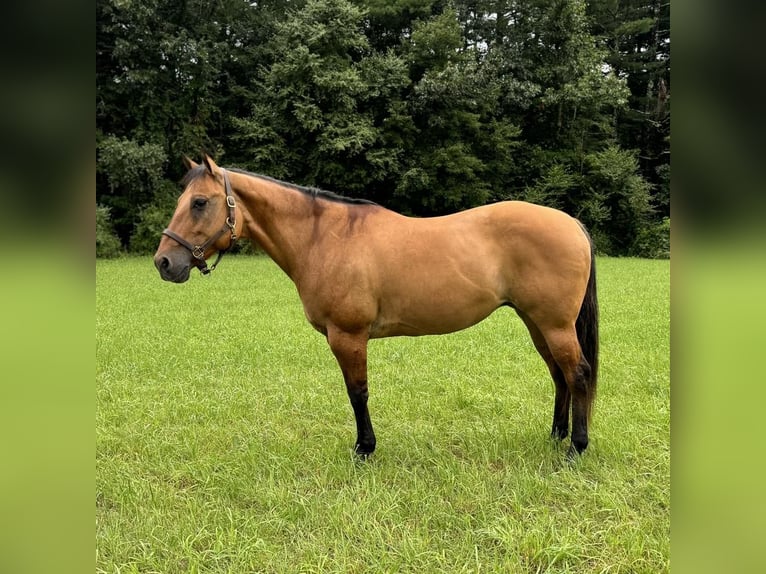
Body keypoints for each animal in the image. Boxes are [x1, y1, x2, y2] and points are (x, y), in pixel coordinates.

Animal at [154, 155, 600, 462]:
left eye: (199, 202)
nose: (164, 262)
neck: (325, 237)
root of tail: (573, 224)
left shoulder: (348, 336)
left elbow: (358, 392)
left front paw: (364, 449)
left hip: (554, 324)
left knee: (577, 373)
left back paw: (575, 448)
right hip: (537, 323)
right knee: (559, 375)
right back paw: (556, 436)